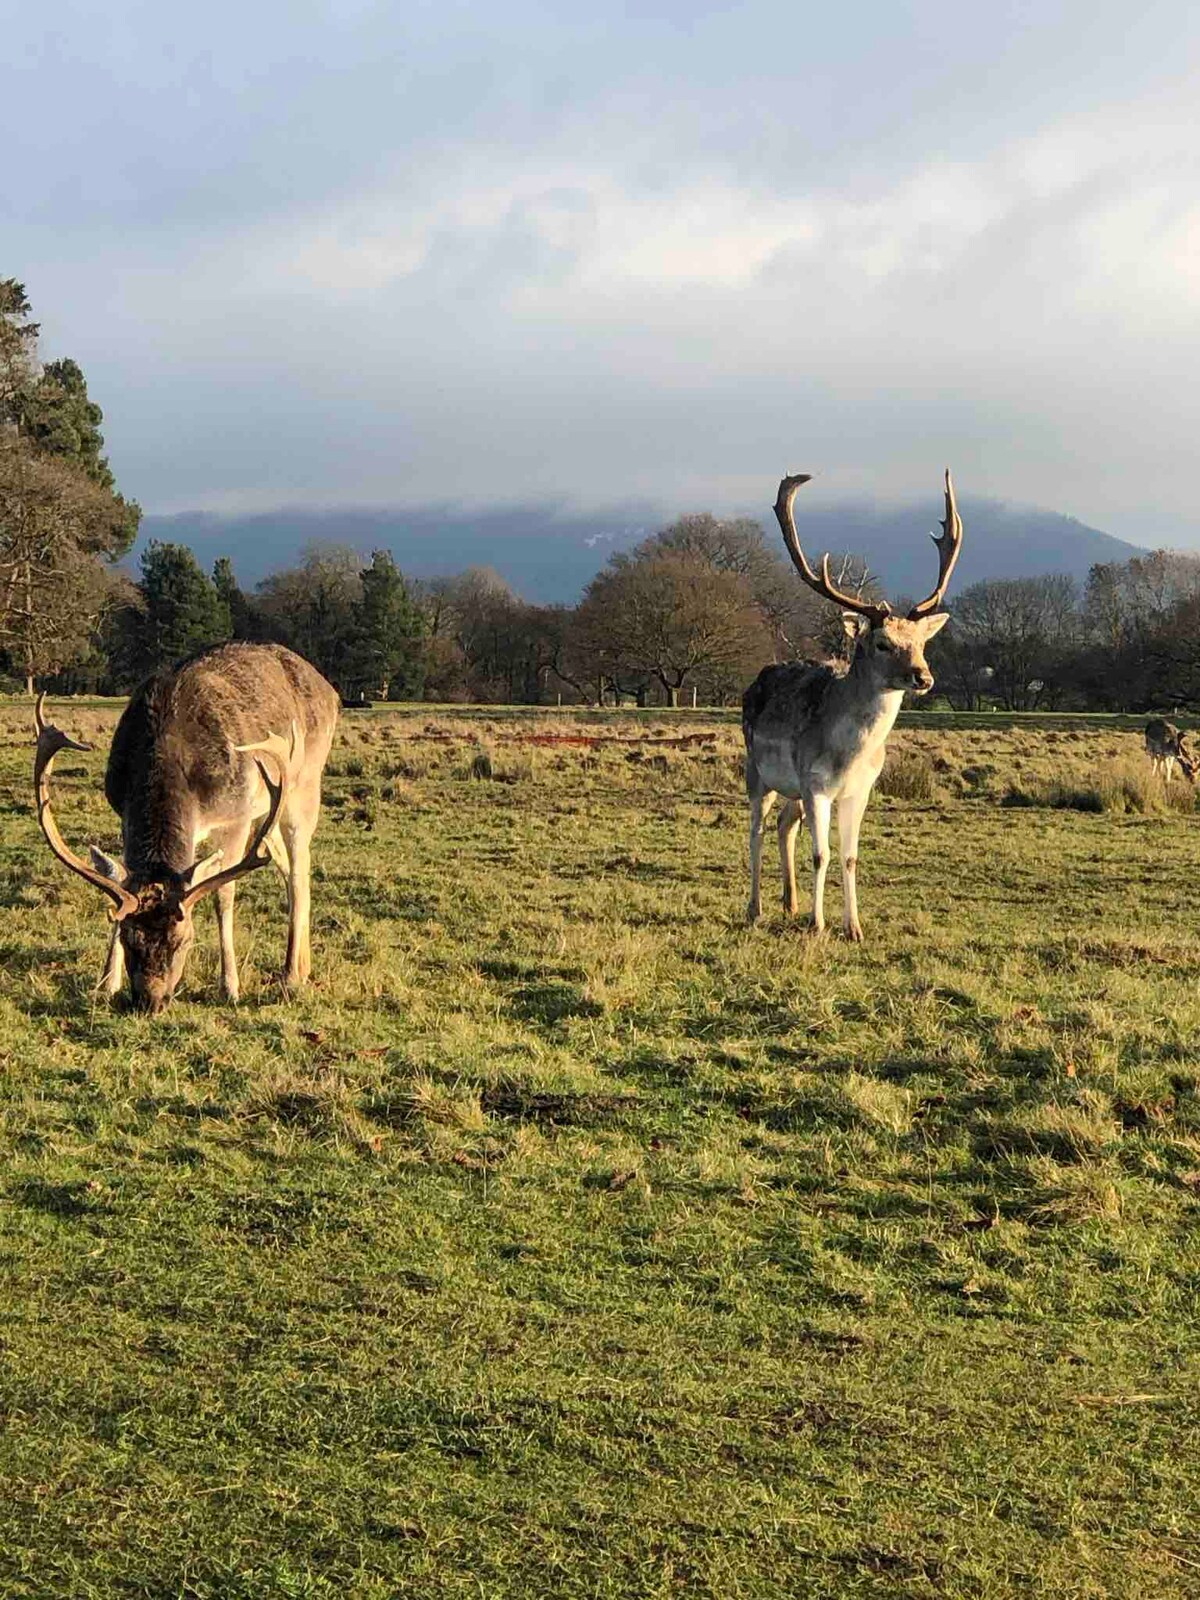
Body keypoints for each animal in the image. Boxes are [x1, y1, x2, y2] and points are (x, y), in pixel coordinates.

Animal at [32, 640, 340, 1004]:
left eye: (183, 941)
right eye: (128, 938)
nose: (150, 1001)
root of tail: (330, 689)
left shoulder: (235, 816)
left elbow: (223, 894)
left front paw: (230, 986)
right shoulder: (123, 812)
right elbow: (121, 879)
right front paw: (107, 981)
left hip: (303, 782)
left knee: (299, 869)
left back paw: (292, 974)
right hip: (269, 808)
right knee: (281, 859)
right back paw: (303, 966)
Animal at [742, 467, 966, 934]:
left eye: (921, 642)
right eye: (882, 643)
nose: (923, 676)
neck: (849, 756)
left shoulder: (859, 790)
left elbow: (849, 856)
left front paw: (854, 926)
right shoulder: (815, 784)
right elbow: (821, 854)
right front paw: (819, 925)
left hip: (790, 786)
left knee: (784, 825)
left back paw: (789, 903)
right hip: (756, 769)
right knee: (756, 830)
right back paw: (755, 908)